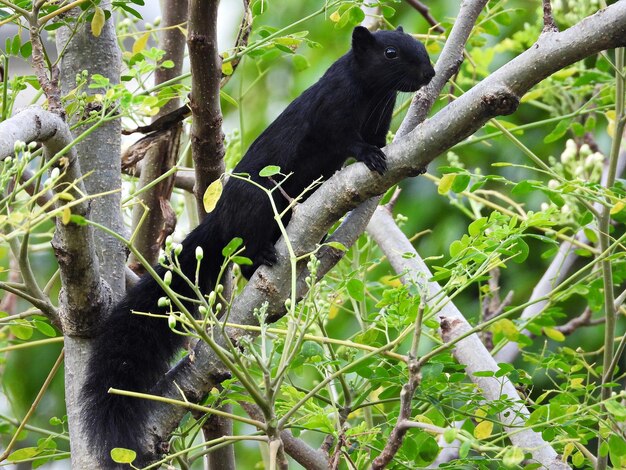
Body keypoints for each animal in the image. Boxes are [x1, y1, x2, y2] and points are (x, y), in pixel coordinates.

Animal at [81, 24, 434, 462]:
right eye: (390, 54)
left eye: (419, 46)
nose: (430, 74)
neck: (370, 94)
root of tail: (217, 222)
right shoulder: (332, 115)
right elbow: (346, 141)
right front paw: (370, 156)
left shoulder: (378, 121)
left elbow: (378, 139)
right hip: (254, 213)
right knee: (247, 252)